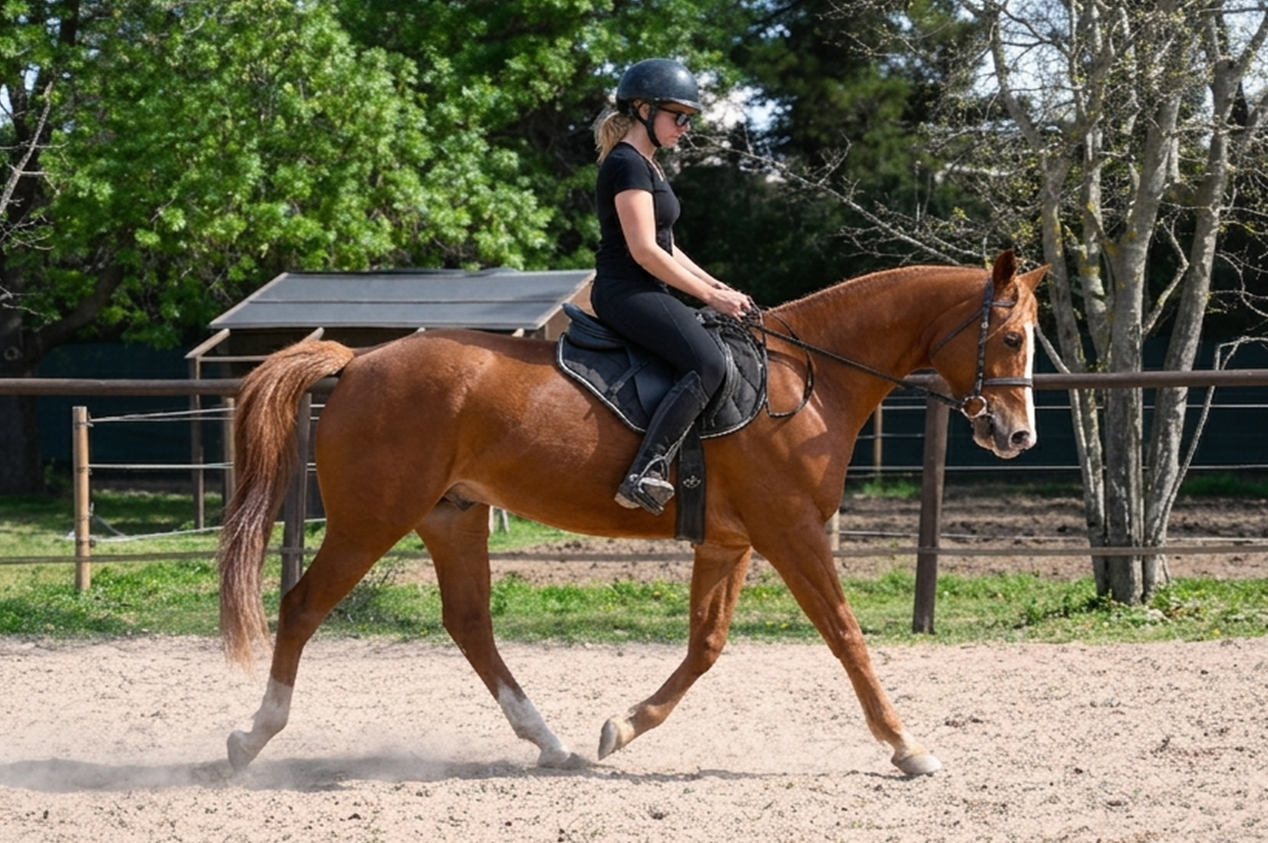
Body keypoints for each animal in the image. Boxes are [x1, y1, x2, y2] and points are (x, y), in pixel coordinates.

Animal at [218, 249, 1046, 776]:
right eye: (1011, 337)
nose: (1019, 436)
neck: (807, 379)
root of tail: (358, 360)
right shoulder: (792, 533)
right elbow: (847, 635)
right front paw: (906, 747)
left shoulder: (731, 542)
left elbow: (706, 644)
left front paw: (622, 726)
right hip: (372, 519)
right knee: (301, 606)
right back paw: (252, 737)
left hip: (452, 516)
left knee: (470, 622)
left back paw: (550, 743)